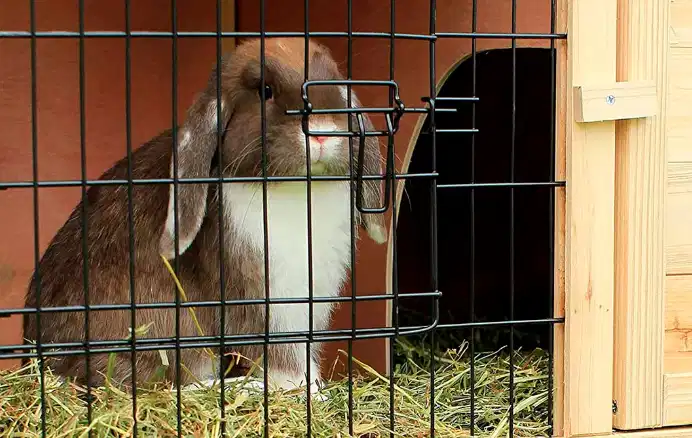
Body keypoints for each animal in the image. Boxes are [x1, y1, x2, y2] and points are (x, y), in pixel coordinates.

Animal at [21, 38, 390, 394]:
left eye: (337, 84)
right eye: (265, 91)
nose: (323, 131)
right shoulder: (263, 304)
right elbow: (280, 358)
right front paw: (305, 389)